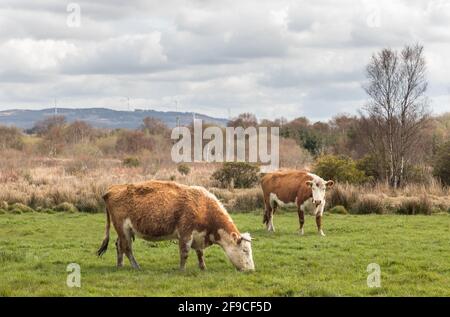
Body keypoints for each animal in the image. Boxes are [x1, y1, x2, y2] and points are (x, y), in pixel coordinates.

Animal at [96, 179, 255, 270]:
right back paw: (136, 266)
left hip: (125, 231)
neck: (203, 206)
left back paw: (120, 265)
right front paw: (182, 270)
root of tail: (112, 189)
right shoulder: (185, 234)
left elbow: (200, 253)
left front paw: (203, 267)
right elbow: (184, 252)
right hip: (123, 229)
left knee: (119, 245)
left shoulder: (198, 236)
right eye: (245, 251)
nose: (251, 269)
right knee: (127, 248)